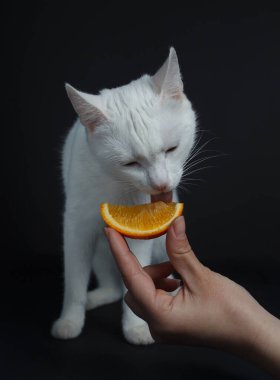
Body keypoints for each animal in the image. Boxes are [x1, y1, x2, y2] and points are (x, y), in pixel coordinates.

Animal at [52, 47, 197, 344]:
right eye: (130, 164)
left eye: (171, 149)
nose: (160, 183)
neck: (116, 184)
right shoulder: (76, 227)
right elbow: (74, 281)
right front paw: (70, 320)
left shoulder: (143, 233)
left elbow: (138, 275)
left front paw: (137, 326)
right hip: (99, 248)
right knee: (113, 287)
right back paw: (94, 298)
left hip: (159, 247)